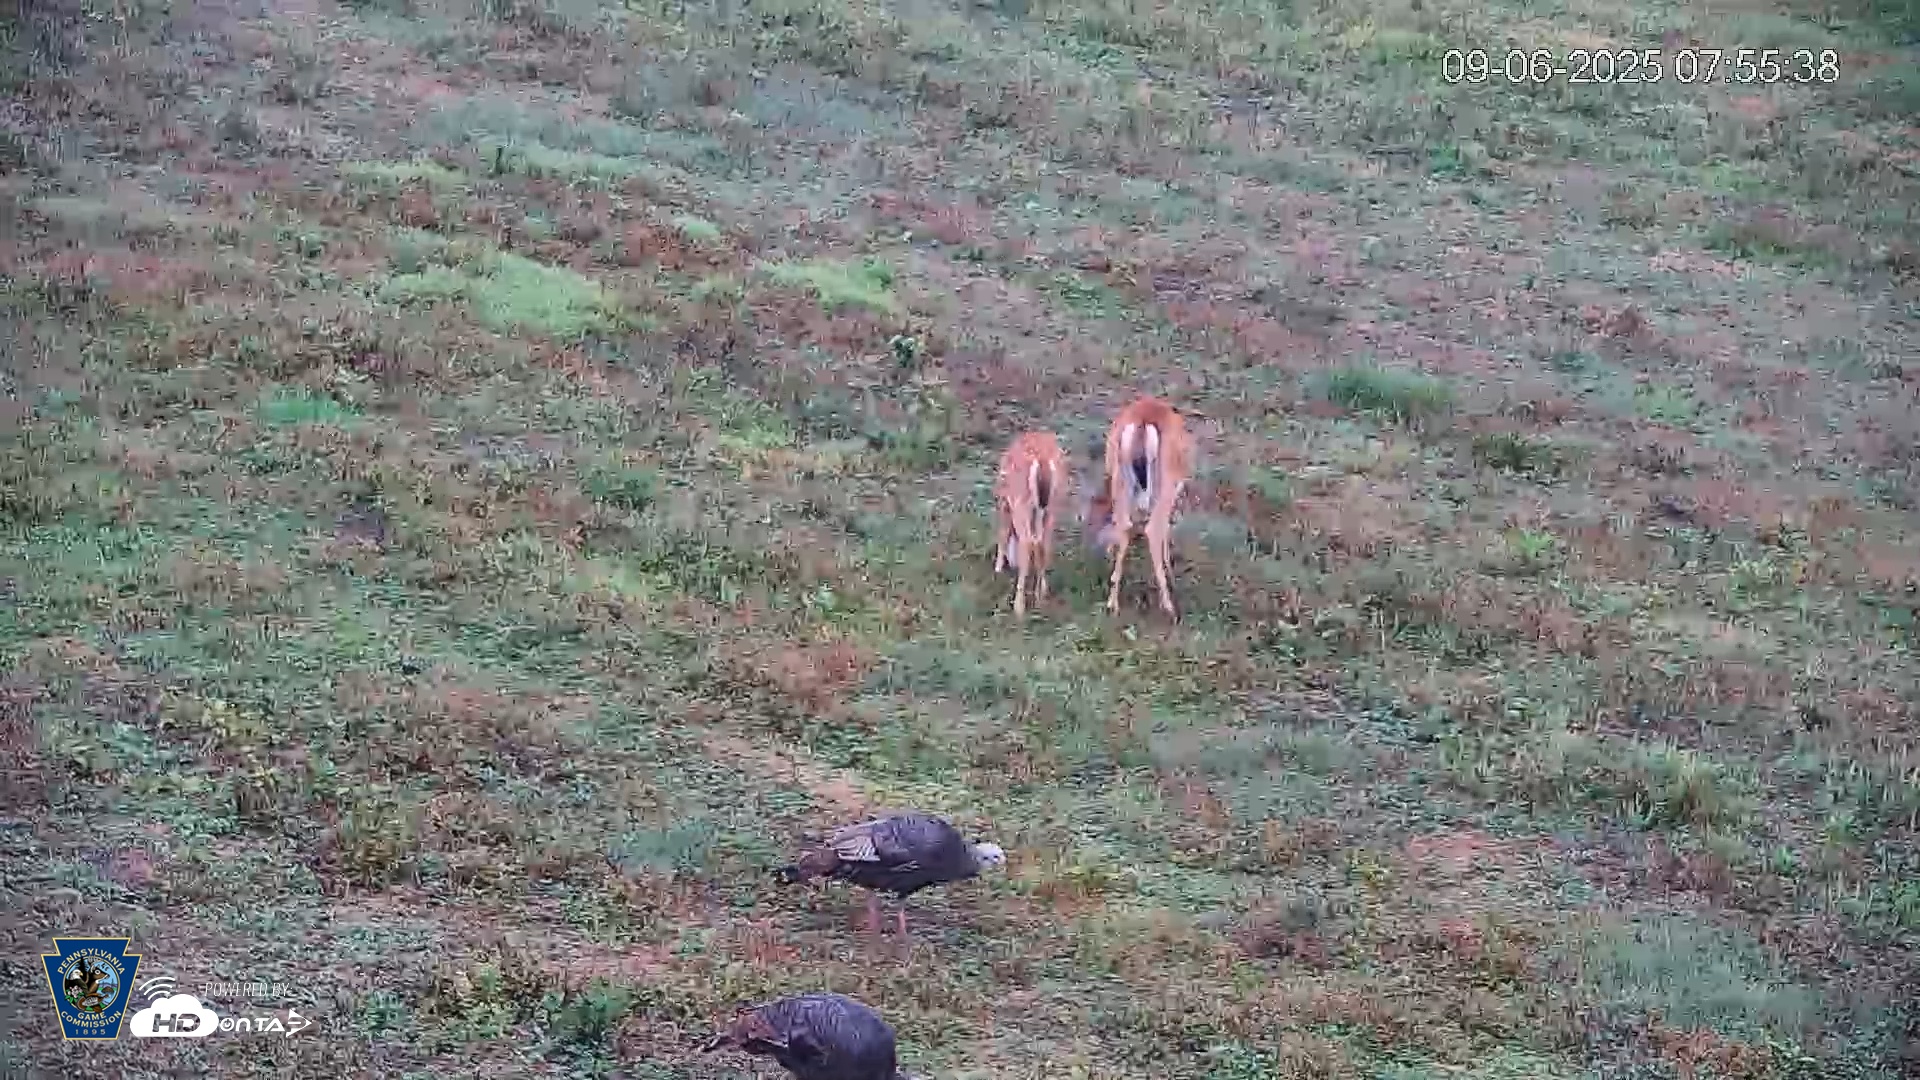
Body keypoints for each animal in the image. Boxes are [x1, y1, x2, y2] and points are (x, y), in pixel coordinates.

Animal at [992, 430, 1067, 617]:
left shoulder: (1004, 502)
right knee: (1043, 543)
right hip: (1053, 504)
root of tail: (1042, 460)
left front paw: (998, 568)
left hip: (1021, 504)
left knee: (1027, 542)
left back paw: (1018, 607)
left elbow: (1002, 533)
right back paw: (1041, 595)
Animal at [1086, 396, 1194, 618]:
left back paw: (1112, 602)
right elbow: (1165, 527)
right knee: (1153, 528)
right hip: (1165, 481)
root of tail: (1142, 424)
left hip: (1121, 478)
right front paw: (1169, 567)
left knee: (1124, 523)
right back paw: (1169, 605)